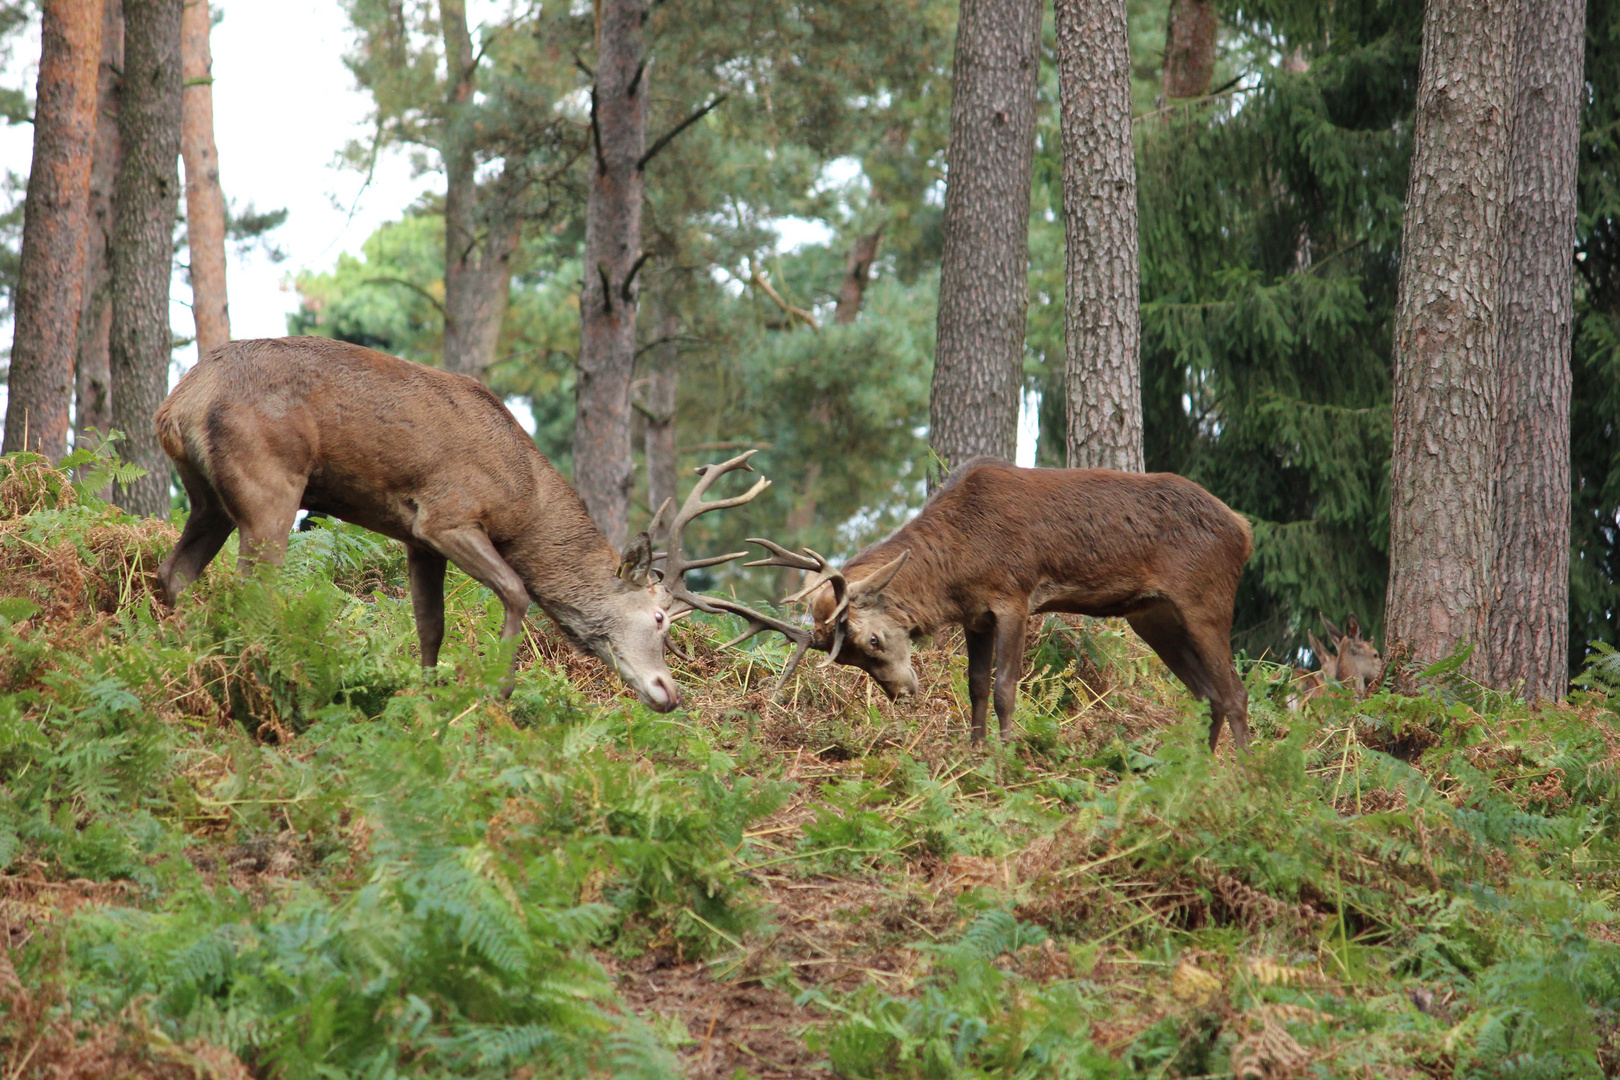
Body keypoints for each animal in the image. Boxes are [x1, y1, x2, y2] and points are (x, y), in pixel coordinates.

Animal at [154, 338, 774, 709]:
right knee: (248, 588)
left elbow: (430, 625)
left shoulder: (416, 540)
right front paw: (497, 689)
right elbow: (516, 589)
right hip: (270, 482)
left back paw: (178, 659)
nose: (669, 693)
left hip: (207, 498)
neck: (524, 500)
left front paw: (427, 698)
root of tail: (178, 405)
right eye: (660, 617)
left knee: (174, 574)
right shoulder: (447, 515)